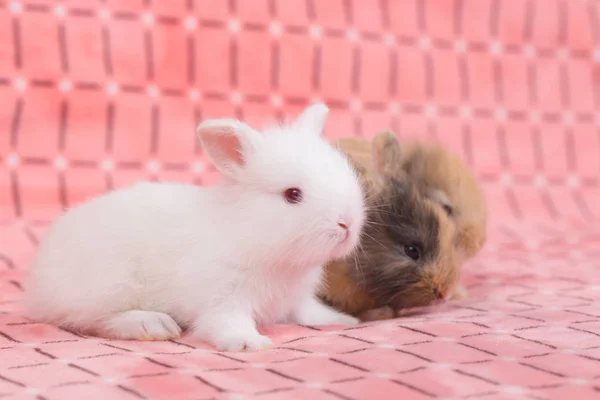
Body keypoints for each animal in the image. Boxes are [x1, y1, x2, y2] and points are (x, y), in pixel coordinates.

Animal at [23, 103, 366, 350]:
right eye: (292, 194)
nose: (346, 223)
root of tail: (37, 284)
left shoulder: (295, 301)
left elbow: (308, 313)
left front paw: (343, 320)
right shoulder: (223, 298)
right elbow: (226, 323)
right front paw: (251, 343)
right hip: (107, 285)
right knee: (93, 320)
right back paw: (153, 324)